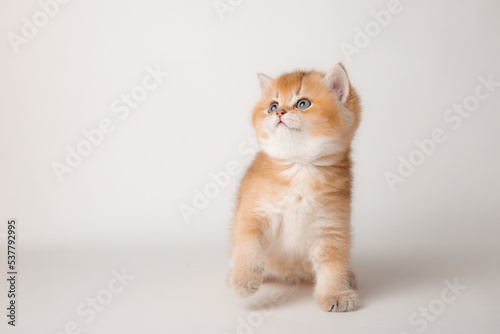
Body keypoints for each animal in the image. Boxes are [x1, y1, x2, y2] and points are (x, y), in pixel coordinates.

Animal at [229, 64, 362, 312]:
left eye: (303, 104)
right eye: (272, 106)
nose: (279, 112)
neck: (300, 168)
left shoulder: (330, 226)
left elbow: (333, 263)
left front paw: (336, 293)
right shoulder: (253, 213)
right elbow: (248, 245)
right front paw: (243, 278)